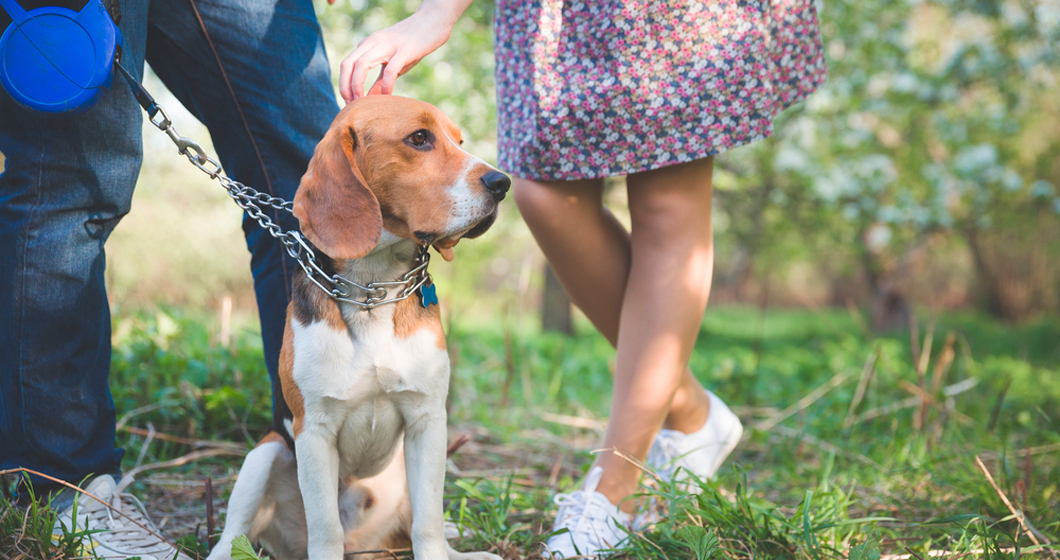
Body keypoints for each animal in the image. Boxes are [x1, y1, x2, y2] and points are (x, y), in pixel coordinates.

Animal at [205, 97, 508, 560]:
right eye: (419, 138)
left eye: (459, 141)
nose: (503, 182)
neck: (373, 288)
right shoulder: (313, 431)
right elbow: (325, 528)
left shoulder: (427, 422)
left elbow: (429, 524)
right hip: (265, 453)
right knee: (234, 533)